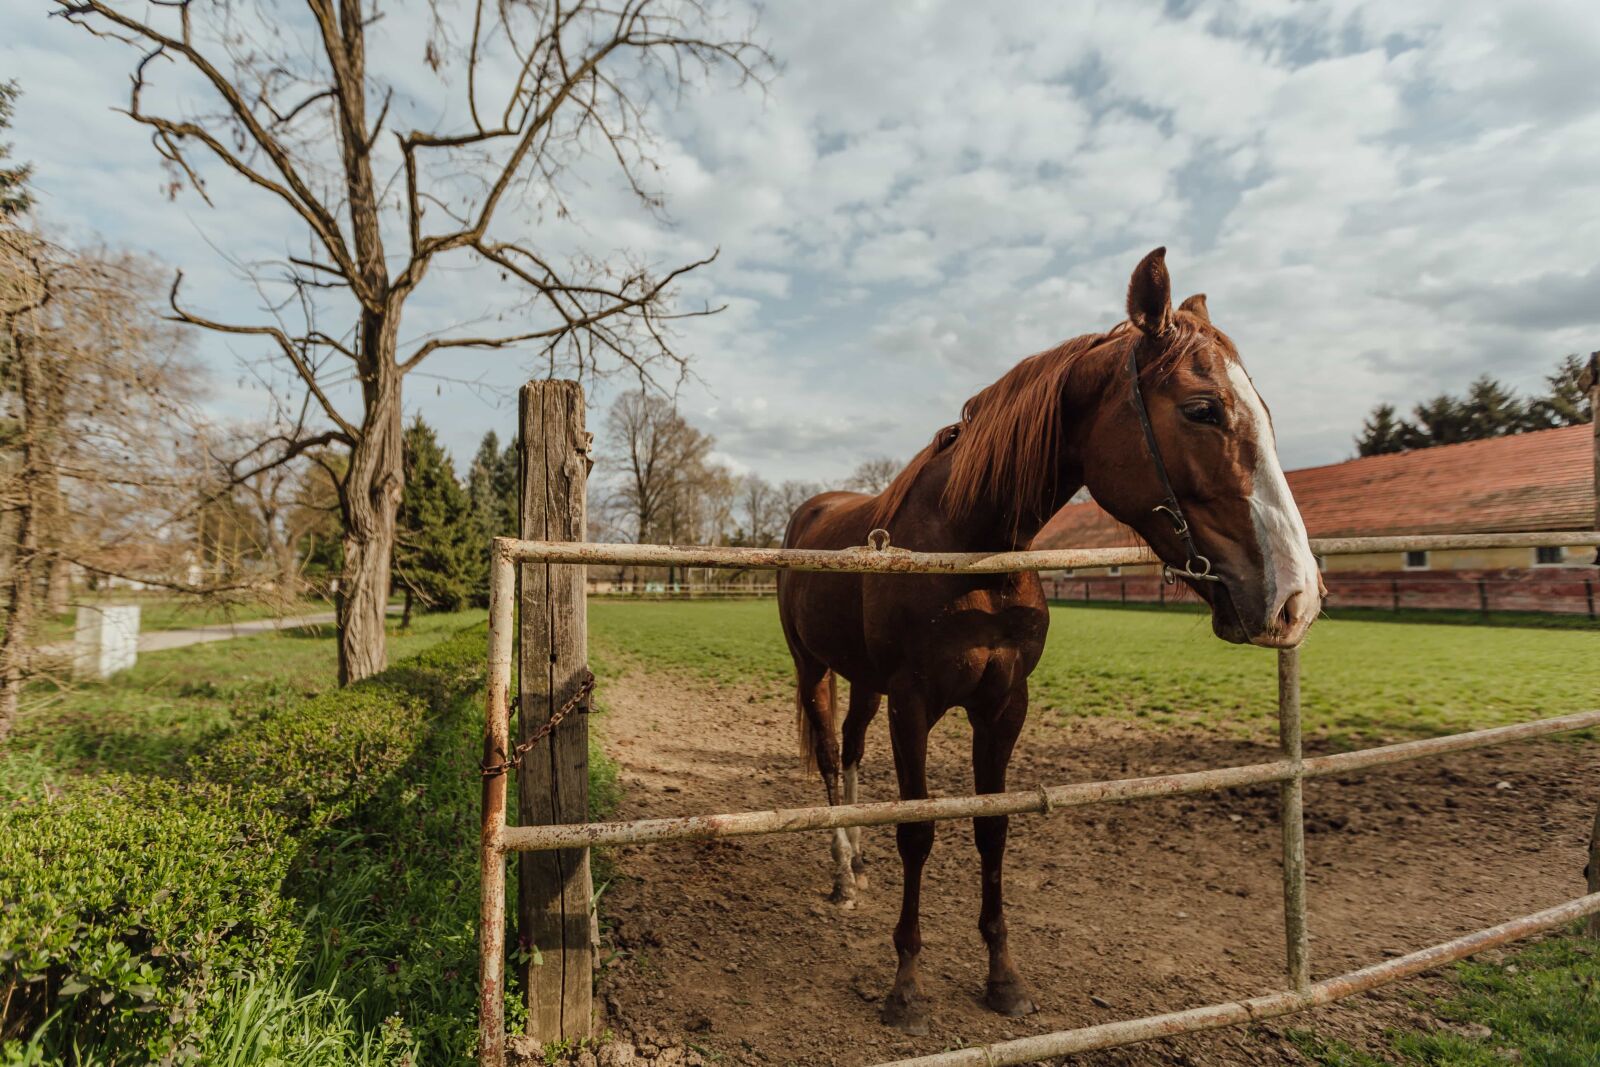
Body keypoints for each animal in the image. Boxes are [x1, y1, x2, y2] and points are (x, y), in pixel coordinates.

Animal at [776, 247, 1323, 1035]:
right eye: (1203, 409)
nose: (1295, 598)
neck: (970, 544)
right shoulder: (914, 705)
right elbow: (920, 831)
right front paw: (906, 986)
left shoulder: (1004, 704)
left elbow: (992, 829)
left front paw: (1003, 978)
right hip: (813, 667)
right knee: (826, 758)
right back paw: (843, 873)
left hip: (863, 681)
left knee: (848, 753)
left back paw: (859, 861)